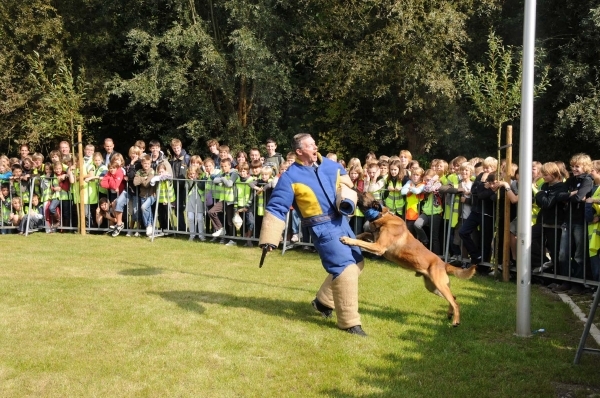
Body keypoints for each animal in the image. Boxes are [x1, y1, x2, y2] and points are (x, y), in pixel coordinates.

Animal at [340, 192, 476, 326]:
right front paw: (352, 235)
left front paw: (347, 240)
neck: (380, 215)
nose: (354, 189)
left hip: (439, 285)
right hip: (433, 287)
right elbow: (362, 234)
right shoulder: (375, 240)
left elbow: (360, 241)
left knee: (455, 302)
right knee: (454, 298)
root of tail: (443, 263)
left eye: (363, 194)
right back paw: (449, 314)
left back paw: (455, 321)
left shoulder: (379, 247)